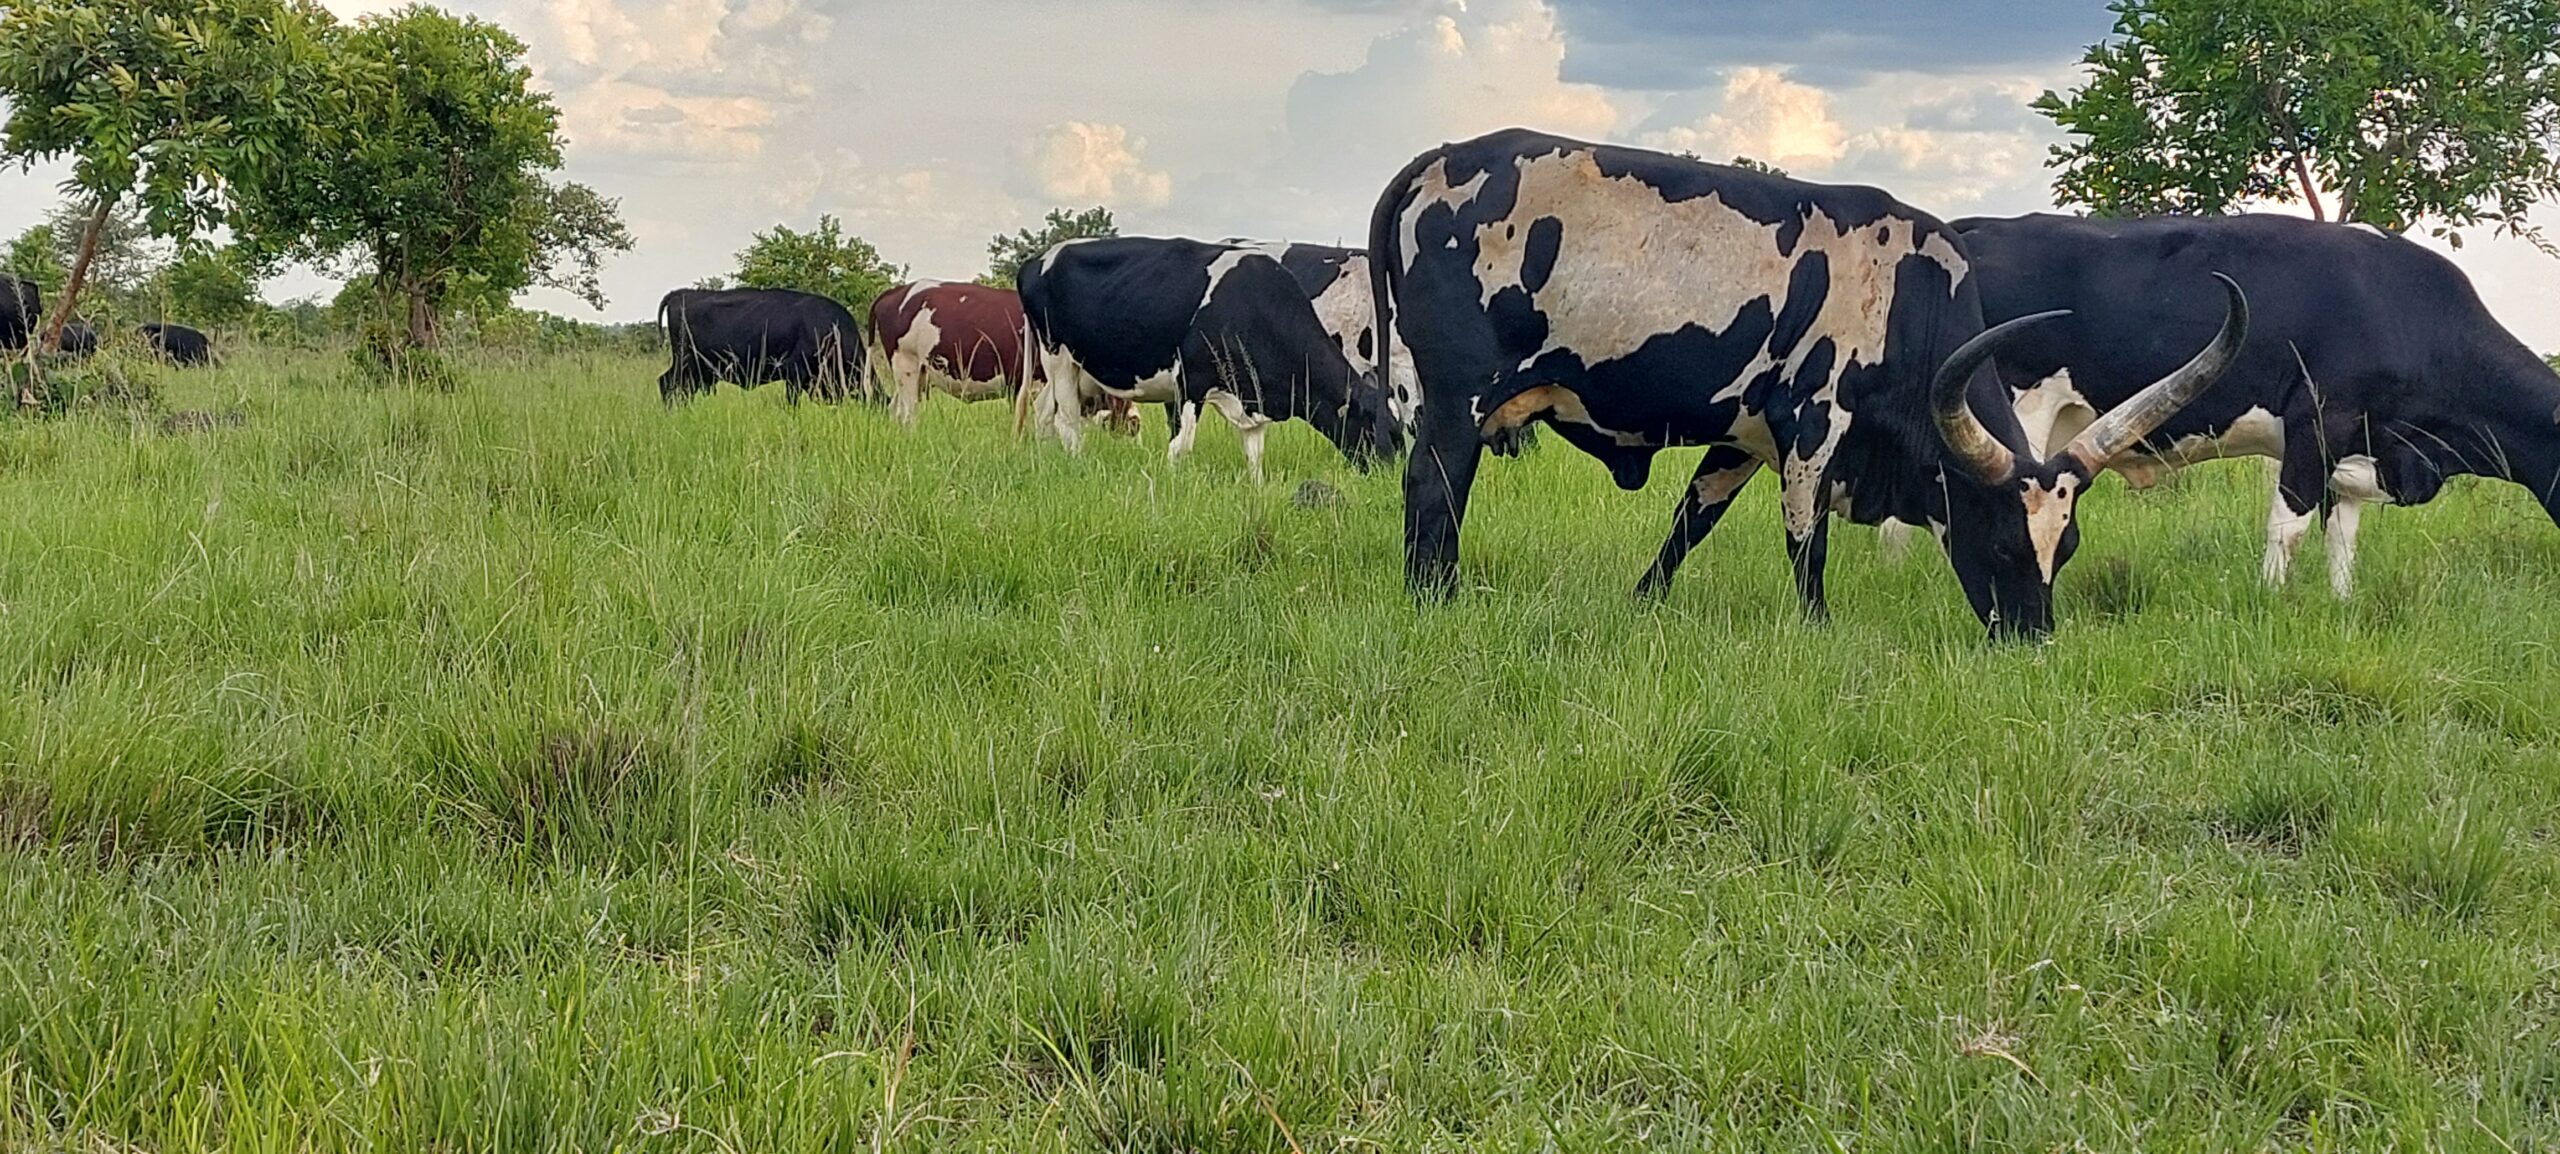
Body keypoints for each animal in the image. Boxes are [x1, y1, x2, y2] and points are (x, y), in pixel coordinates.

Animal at [865, 284, 1136, 434]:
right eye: (1134, 426)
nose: (1136, 440)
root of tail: (895, 292)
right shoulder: (1024, 384)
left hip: (914, 374)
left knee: (895, 409)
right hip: (906, 365)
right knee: (908, 414)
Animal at [1013, 239, 1402, 483]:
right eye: (1375, 431)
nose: (1389, 477)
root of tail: (1037, 260)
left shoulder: (1251, 396)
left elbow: (1255, 454)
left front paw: (1256, 490)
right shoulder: (1190, 382)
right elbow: (1180, 447)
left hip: (1078, 371)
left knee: (1044, 411)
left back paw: (1046, 462)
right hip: (1058, 357)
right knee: (1067, 421)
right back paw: (1077, 464)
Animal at [1382, 133, 2242, 649]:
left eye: (2066, 547)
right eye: (2002, 543)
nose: (2033, 640)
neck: (1909, 297)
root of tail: (1438, 158)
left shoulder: (1739, 440)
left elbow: (1688, 525)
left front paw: (1643, 602)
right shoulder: (1811, 422)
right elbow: (1807, 540)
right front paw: (1818, 629)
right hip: (1456, 402)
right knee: (1434, 490)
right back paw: (1436, 599)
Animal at [1945, 211, 2560, 601]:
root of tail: (1980, 226)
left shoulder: (2357, 445)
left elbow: (2343, 537)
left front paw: (2341, 606)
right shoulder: (2318, 422)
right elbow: (2289, 526)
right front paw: (2269, 599)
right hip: (2019, 414)